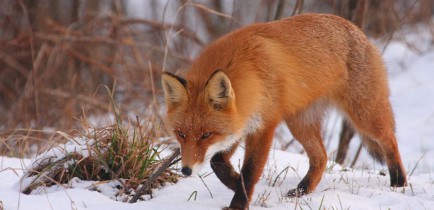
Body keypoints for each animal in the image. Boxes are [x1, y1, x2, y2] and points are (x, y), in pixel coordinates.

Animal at [161, 13, 406, 210]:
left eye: (206, 135)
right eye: (181, 134)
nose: (186, 171)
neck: (250, 73)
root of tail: (356, 28)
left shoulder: (263, 125)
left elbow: (250, 170)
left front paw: (239, 202)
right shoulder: (239, 123)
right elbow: (217, 161)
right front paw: (234, 182)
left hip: (365, 115)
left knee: (389, 139)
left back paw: (399, 182)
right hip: (300, 124)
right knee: (321, 157)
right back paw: (303, 190)